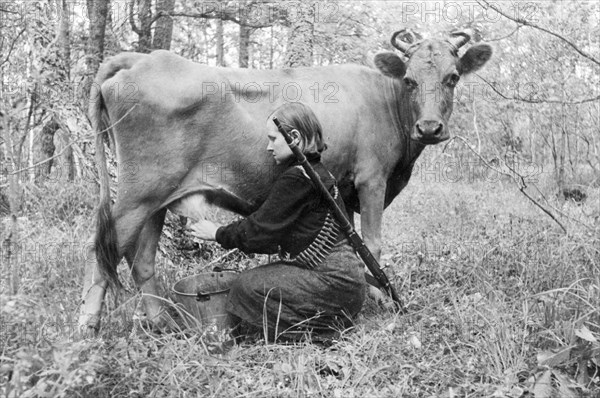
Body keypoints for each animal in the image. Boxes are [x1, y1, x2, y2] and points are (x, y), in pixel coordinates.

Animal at [78, 28, 492, 332]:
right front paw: (381, 299)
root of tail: (145, 57)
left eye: (453, 77)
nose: (430, 128)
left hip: (156, 199)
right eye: (408, 80)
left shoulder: (343, 190)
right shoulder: (372, 179)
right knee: (102, 251)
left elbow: (350, 242)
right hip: (138, 194)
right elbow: (372, 243)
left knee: (141, 259)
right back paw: (86, 333)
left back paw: (162, 323)